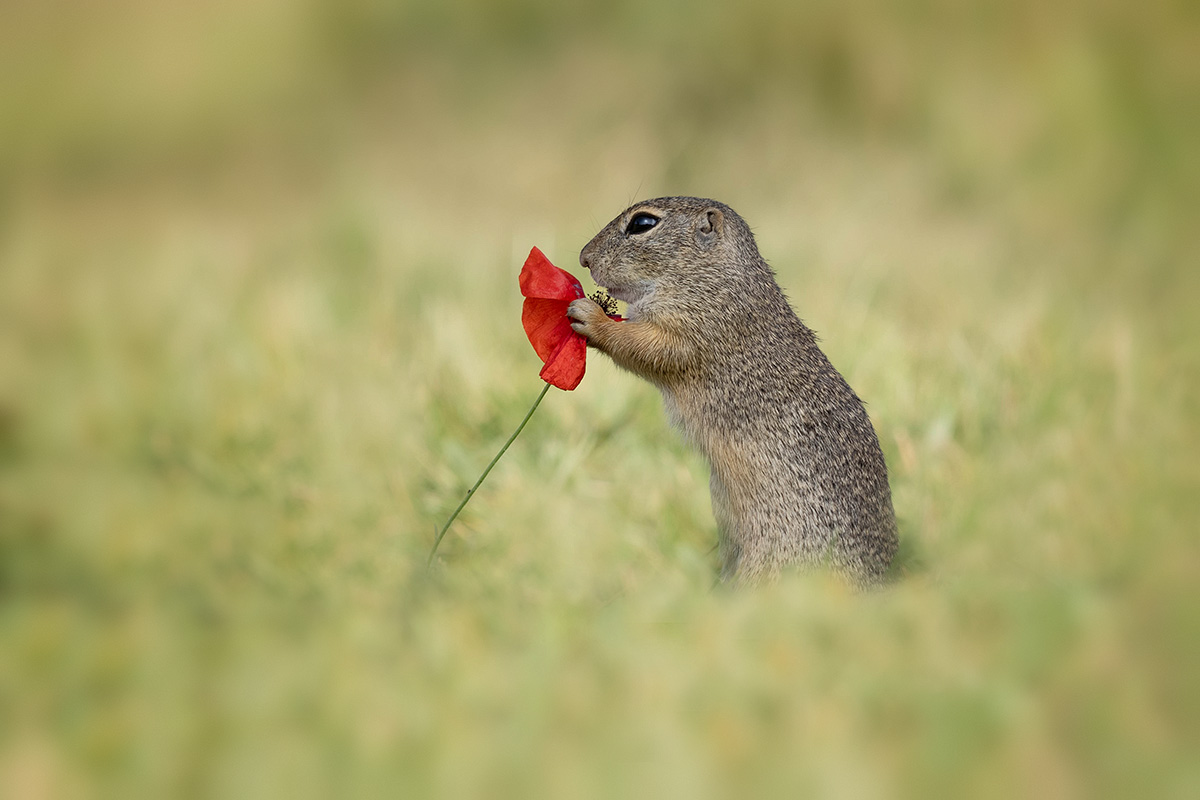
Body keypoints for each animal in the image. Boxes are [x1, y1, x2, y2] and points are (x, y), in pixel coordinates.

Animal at [566, 194, 897, 582]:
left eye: (643, 224)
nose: (584, 257)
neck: (714, 277)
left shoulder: (693, 327)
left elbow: (645, 346)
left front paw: (589, 316)